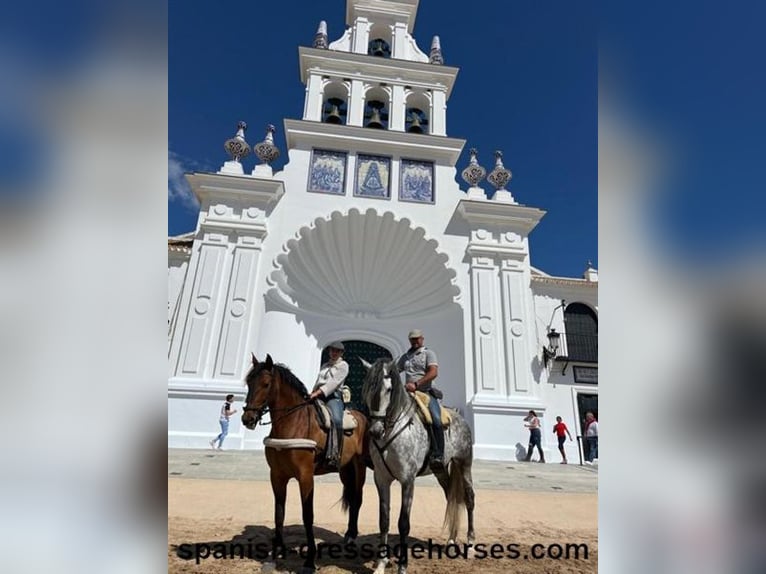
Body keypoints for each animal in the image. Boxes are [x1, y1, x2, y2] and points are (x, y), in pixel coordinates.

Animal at [242, 356, 370, 574]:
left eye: (266, 384)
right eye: (249, 382)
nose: (247, 418)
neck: (292, 423)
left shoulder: (305, 476)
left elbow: (307, 515)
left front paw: (309, 560)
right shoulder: (277, 476)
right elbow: (279, 514)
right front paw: (276, 554)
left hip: (359, 468)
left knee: (358, 499)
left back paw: (352, 537)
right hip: (345, 470)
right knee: (352, 497)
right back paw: (348, 536)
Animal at [360, 358, 474, 572]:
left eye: (389, 389)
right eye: (368, 388)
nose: (375, 431)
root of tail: (460, 419)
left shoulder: (407, 480)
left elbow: (403, 523)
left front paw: (402, 566)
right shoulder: (382, 479)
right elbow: (384, 520)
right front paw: (381, 564)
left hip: (465, 464)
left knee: (469, 498)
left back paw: (471, 544)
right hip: (440, 470)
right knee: (451, 497)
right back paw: (451, 540)